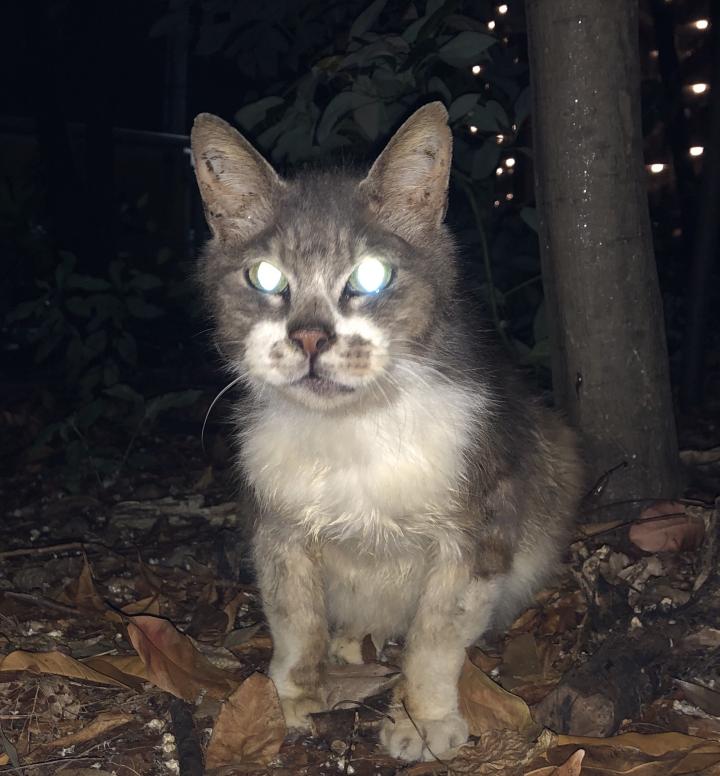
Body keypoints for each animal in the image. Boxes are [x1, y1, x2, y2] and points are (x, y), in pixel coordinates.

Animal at [190, 102, 584, 761]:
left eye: (373, 274)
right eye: (265, 276)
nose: (310, 337)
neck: (353, 431)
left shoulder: (477, 535)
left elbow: (435, 640)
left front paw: (424, 721)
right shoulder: (278, 532)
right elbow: (294, 623)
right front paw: (291, 700)